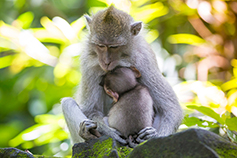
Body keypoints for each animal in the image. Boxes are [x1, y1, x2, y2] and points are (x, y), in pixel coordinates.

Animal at [60, 5, 181, 144]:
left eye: (114, 47)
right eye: (100, 45)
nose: (106, 62)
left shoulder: (144, 60)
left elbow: (171, 108)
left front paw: (154, 135)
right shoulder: (89, 62)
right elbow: (90, 109)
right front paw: (110, 132)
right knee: (68, 103)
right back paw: (87, 134)